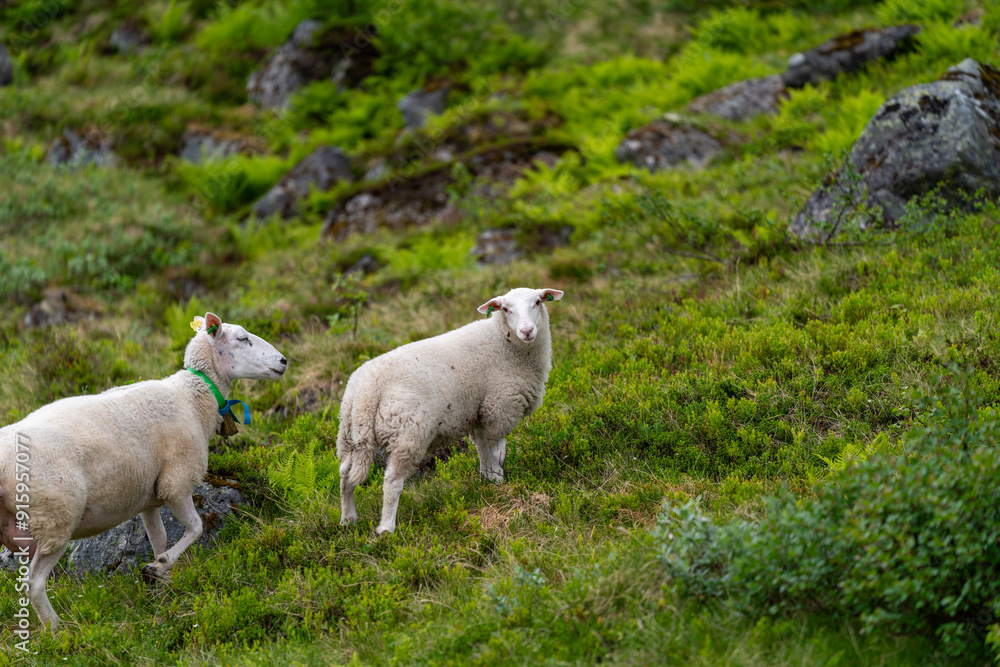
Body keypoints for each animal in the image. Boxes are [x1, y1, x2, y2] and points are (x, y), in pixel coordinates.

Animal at [0, 312, 287, 632]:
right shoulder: (176, 482)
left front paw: (162, 585)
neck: (193, 398)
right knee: (34, 582)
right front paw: (158, 567)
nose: (284, 361)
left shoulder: (149, 499)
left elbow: (159, 538)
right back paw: (58, 630)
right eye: (242, 338)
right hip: (55, 516)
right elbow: (197, 527)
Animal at [337, 287, 564, 535]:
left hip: (350, 435)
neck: (504, 342)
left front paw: (486, 484)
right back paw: (387, 528)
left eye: (537, 302)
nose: (527, 331)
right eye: (505, 309)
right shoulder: (499, 410)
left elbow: (483, 454)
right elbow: (497, 456)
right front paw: (500, 486)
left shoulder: (479, 416)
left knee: (345, 473)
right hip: (408, 434)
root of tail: (366, 390)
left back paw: (348, 519)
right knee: (392, 481)